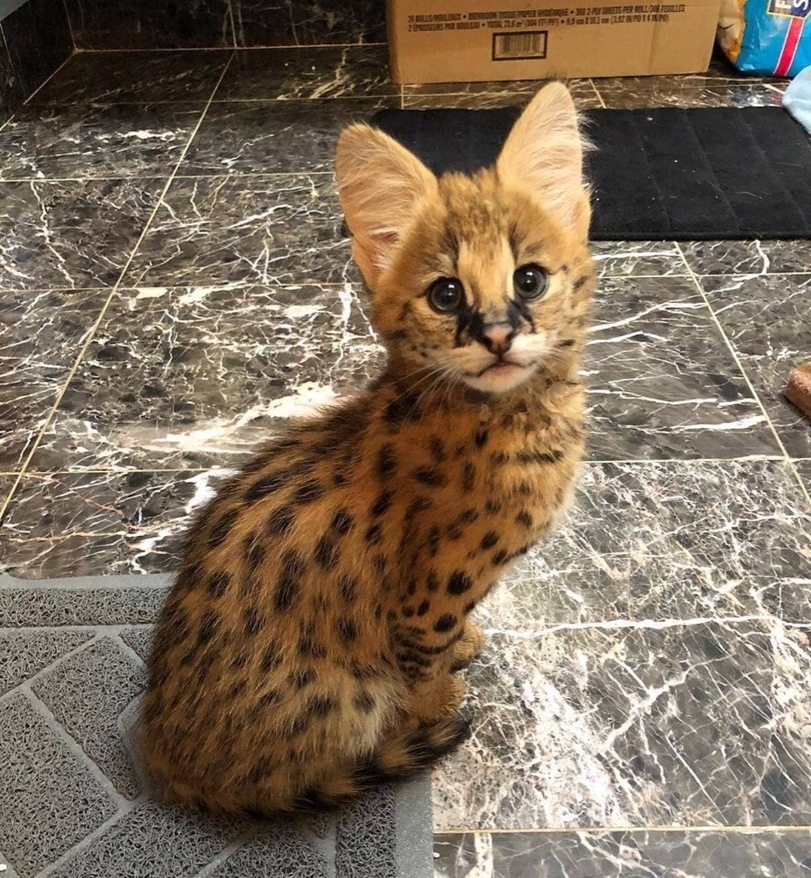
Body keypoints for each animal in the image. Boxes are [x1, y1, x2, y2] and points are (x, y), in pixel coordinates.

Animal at [143, 84, 592, 820]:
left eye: (529, 280)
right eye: (446, 293)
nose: (498, 334)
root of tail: (165, 755)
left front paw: (463, 651)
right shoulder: (422, 601)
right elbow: (425, 671)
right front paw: (437, 706)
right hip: (343, 698)